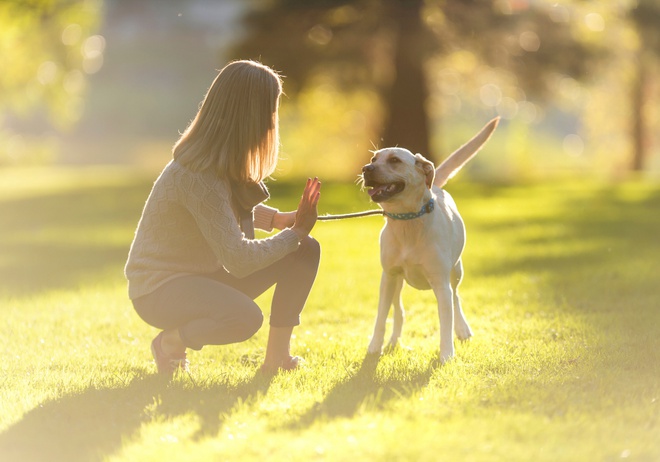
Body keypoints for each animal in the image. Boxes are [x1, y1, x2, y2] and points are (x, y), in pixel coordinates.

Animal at [364, 117, 498, 362]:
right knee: (399, 311)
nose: (365, 169)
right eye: (373, 159)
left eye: (395, 160)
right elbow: (381, 317)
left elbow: (446, 321)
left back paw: (463, 329)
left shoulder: (440, 283)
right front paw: (374, 348)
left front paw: (446, 355)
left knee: (456, 299)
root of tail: (435, 185)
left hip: (456, 272)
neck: (408, 221)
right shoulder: (388, 276)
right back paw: (393, 341)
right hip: (396, 283)